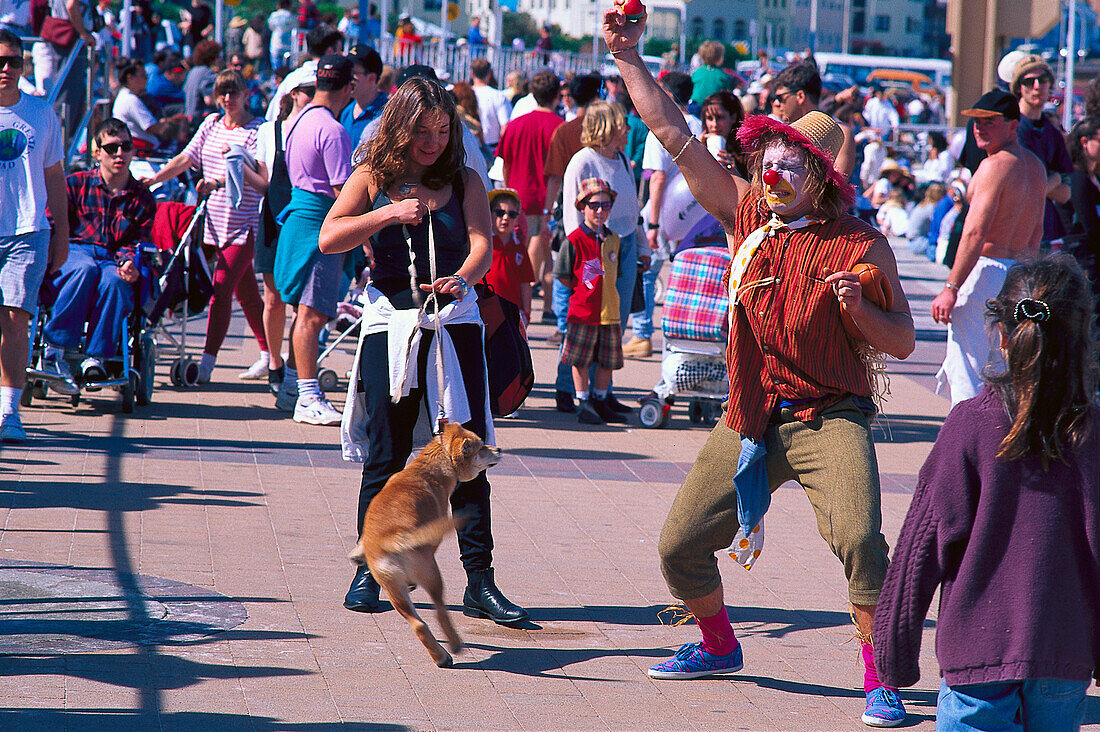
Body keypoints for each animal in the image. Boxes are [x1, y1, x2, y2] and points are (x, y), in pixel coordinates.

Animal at [347, 420, 503, 664]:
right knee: (439, 613)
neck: (427, 468)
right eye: (482, 447)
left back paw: (440, 655)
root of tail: (393, 538)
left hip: (393, 589)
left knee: (419, 625)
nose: (499, 449)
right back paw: (453, 646)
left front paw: (357, 553)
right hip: (432, 575)